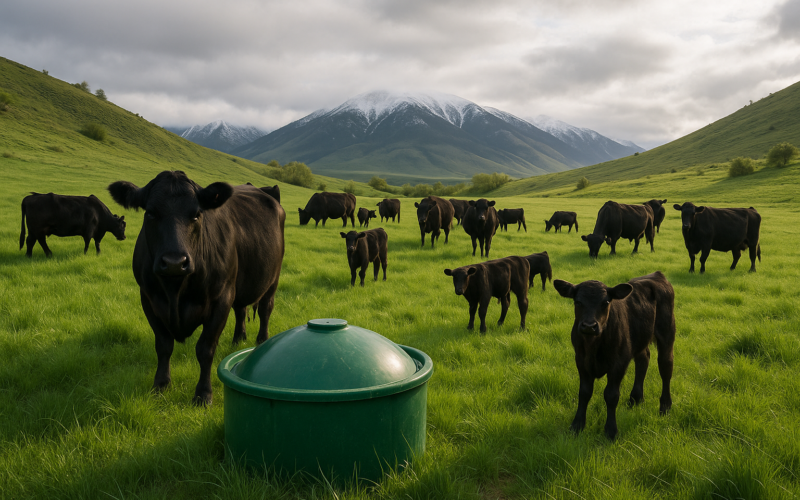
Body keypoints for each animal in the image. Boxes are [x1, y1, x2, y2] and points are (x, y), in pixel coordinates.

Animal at [107, 171, 285, 406]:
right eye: (151, 213)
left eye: (196, 214)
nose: (174, 262)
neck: (175, 291)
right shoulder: (148, 298)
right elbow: (163, 345)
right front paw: (160, 385)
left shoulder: (221, 298)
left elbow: (205, 349)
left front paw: (203, 394)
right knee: (241, 310)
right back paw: (238, 339)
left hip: (272, 278)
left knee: (265, 309)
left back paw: (261, 341)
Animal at [554, 271, 675, 440]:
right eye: (577, 302)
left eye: (605, 302)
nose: (589, 326)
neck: (593, 346)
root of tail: (657, 275)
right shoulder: (581, 360)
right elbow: (584, 392)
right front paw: (577, 425)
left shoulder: (619, 362)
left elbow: (611, 395)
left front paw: (611, 431)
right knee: (643, 359)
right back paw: (636, 398)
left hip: (667, 332)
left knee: (665, 367)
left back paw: (665, 406)